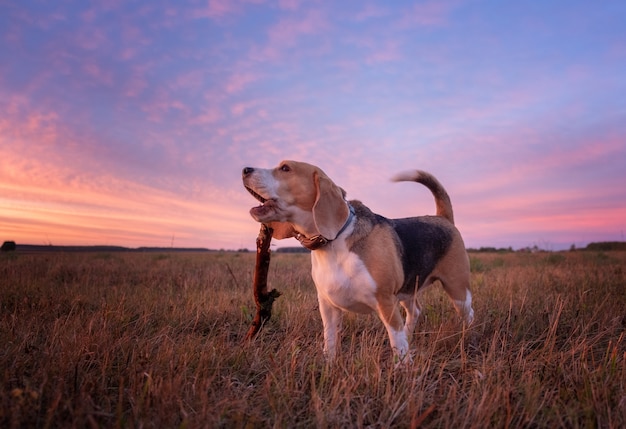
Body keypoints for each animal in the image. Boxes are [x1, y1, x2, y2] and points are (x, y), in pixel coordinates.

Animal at [240, 160, 472, 362]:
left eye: (285, 168)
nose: (245, 169)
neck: (333, 241)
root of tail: (443, 218)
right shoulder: (328, 306)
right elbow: (330, 340)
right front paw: (328, 365)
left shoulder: (386, 302)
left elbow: (396, 342)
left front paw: (403, 370)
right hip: (408, 288)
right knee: (415, 311)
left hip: (457, 289)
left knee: (467, 313)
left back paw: (467, 337)